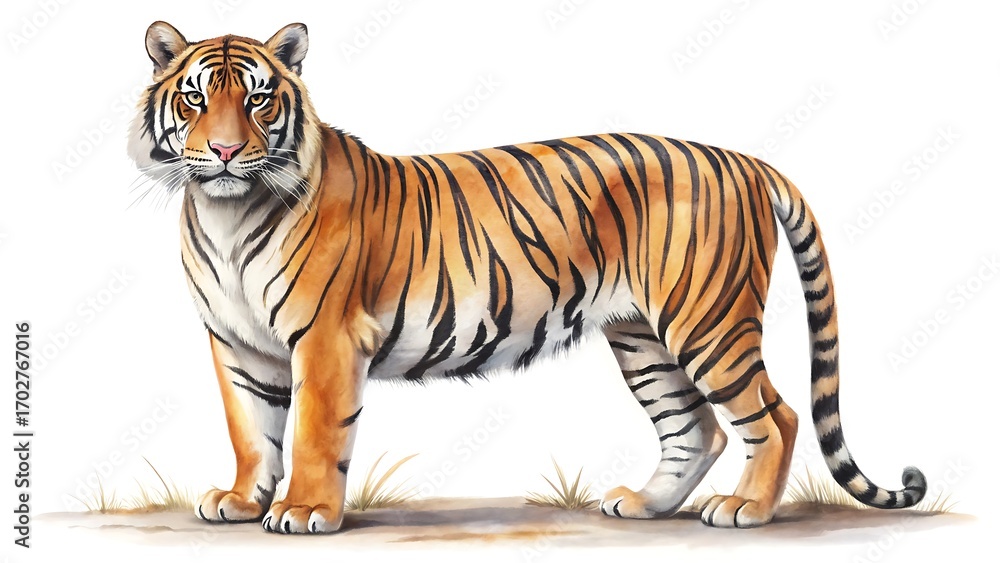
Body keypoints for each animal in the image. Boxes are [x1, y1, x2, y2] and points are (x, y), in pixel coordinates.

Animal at [127, 21, 927, 534]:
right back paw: (645, 504)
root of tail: (745, 159)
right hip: (643, 337)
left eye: (259, 98)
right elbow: (251, 429)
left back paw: (747, 511)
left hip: (708, 321)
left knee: (775, 415)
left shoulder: (325, 337)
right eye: (196, 98)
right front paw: (240, 500)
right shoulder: (237, 344)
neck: (225, 214)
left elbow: (315, 432)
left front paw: (303, 510)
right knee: (694, 426)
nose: (225, 151)